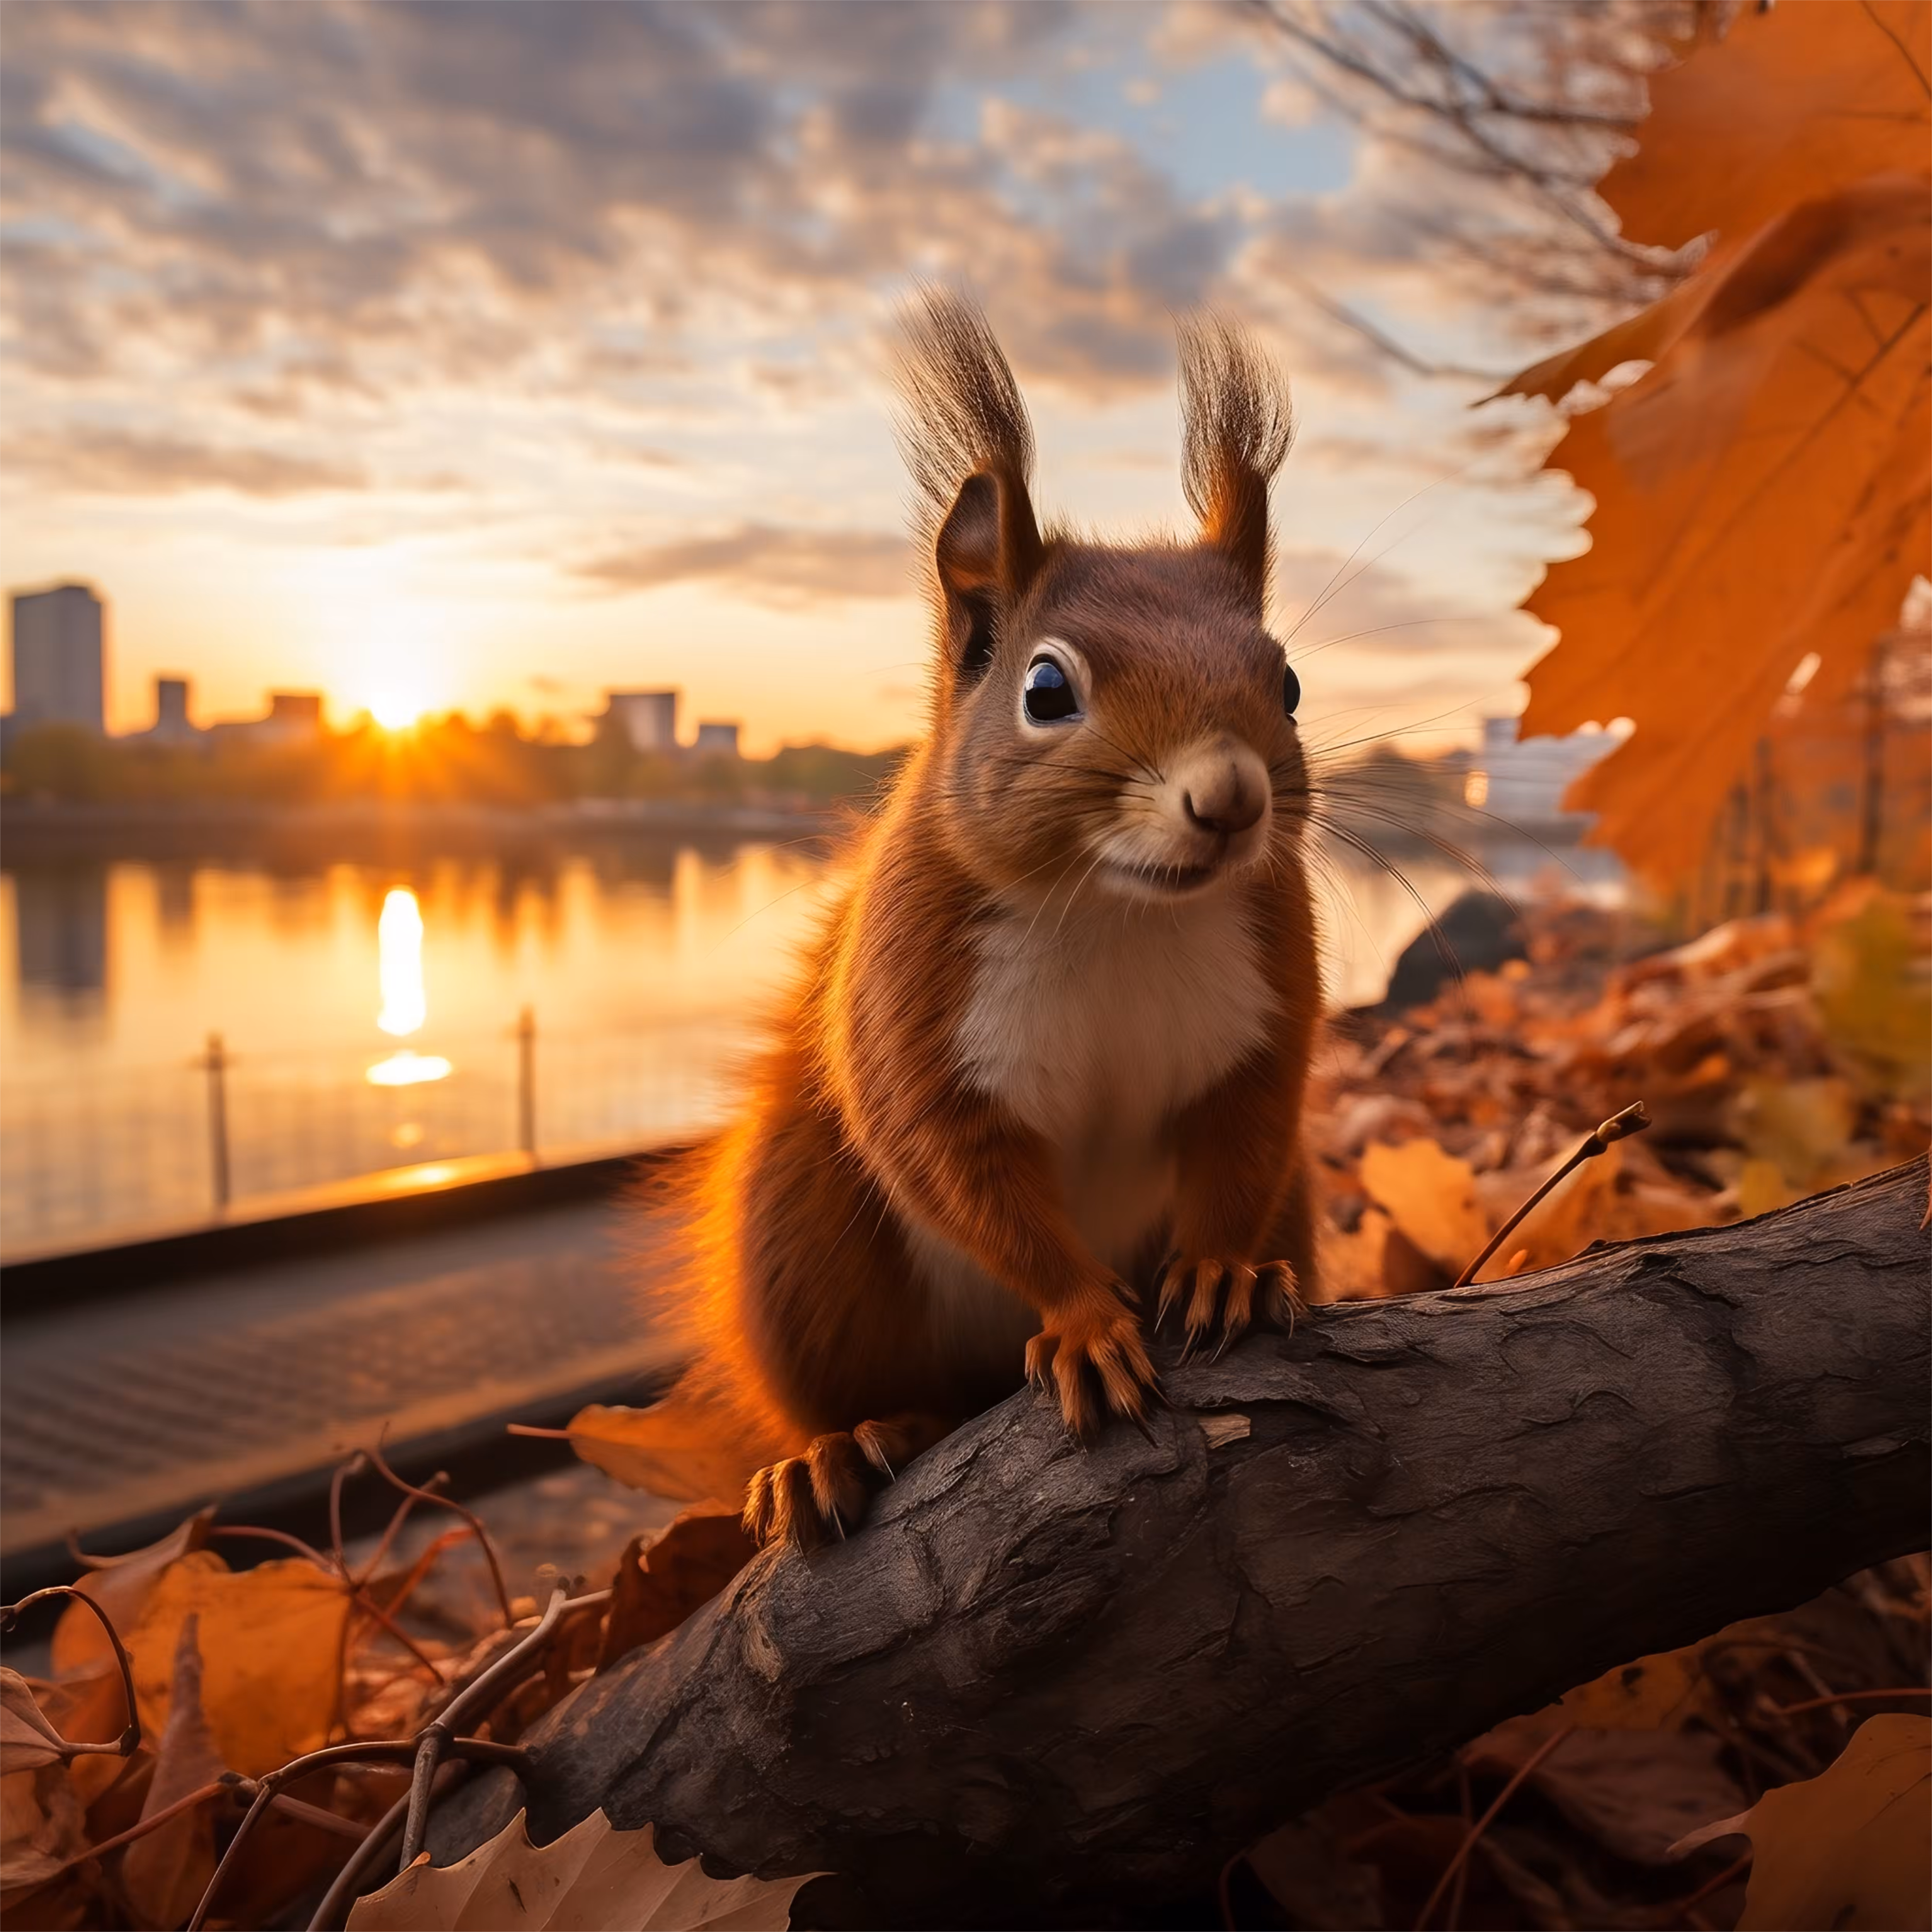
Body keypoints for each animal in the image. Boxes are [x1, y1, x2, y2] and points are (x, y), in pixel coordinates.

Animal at [650, 291, 1320, 1549]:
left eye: (1290, 683)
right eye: (1046, 690)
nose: (1229, 798)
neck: (1115, 912)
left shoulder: (1266, 992)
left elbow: (1246, 1131)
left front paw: (1222, 1272)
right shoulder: (917, 997)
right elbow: (960, 1168)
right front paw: (1085, 1323)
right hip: (797, 1244)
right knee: (856, 1386)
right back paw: (838, 1449)